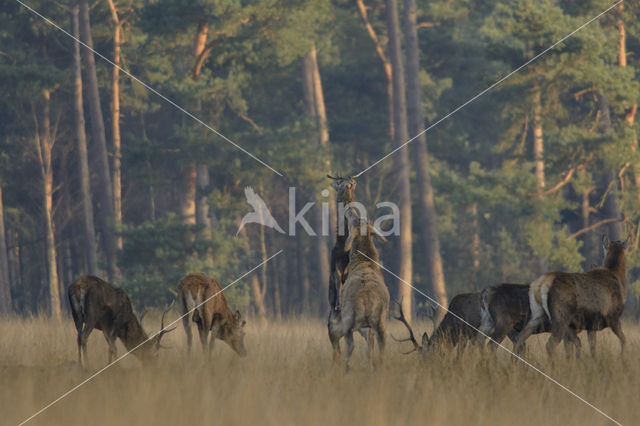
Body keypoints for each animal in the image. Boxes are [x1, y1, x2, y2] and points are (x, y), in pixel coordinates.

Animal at [330, 216, 390, 370]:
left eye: (352, 224)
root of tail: (367, 302)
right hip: (380, 322)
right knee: (380, 346)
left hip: (348, 321)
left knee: (347, 343)